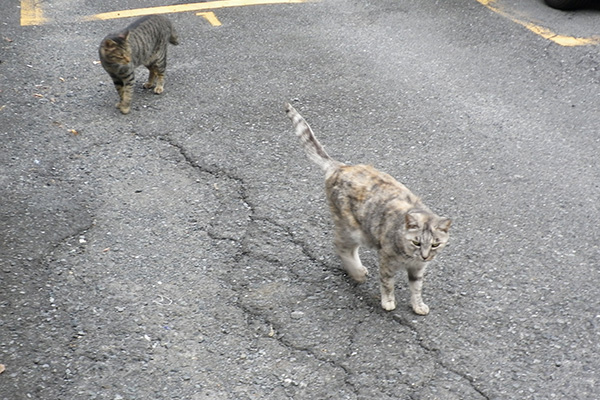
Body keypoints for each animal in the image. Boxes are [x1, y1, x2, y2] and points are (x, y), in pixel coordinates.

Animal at [286, 103, 450, 316]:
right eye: (416, 242)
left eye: (435, 244)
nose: (425, 255)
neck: (410, 257)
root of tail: (340, 166)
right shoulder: (386, 259)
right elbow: (387, 283)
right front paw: (388, 301)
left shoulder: (418, 269)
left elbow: (416, 288)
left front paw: (418, 305)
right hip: (351, 227)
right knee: (340, 246)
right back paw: (356, 273)